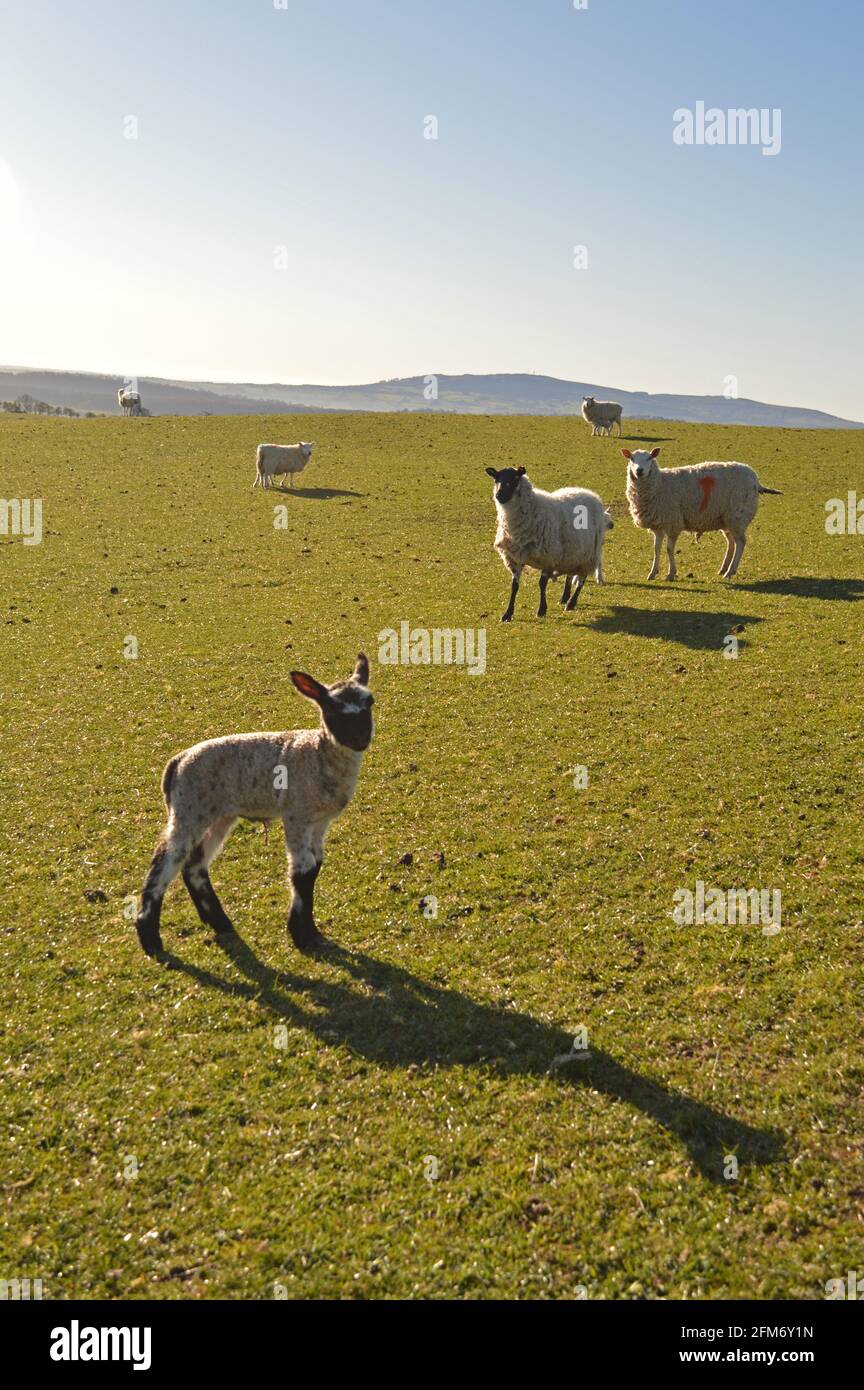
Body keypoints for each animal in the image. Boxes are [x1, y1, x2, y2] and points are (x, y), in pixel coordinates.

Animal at [134, 653, 374, 959]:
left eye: (370, 702)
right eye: (331, 708)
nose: (360, 738)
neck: (317, 754)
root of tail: (176, 762)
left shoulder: (320, 821)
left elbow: (315, 867)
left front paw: (311, 931)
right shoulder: (296, 815)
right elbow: (301, 870)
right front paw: (301, 935)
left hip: (217, 815)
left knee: (194, 865)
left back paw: (219, 922)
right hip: (189, 809)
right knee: (164, 862)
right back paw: (150, 938)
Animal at [486, 465, 611, 621]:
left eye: (515, 478)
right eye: (496, 479)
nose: (500, 495)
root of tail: (589, 493)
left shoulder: (548, 557)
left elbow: (542, 584)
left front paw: (541, 610)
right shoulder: (515, 558)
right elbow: (514, 586)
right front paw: (507, 614)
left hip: (589, 554)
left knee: (582, 579)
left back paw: (571, 603)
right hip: (572, 552)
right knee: (570, 575)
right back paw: (564, 597)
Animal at [623, 448, 782, 580]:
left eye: (650, 458)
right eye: (632, 458)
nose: (639, 471)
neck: (660, 484)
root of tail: (756, 481)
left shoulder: (673, 522)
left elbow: (668, 549)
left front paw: (671, 574)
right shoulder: (658, 525)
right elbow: (656, 549)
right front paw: (652, 573)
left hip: (737, 515)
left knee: (741, 543)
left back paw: (730, 572)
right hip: (727, 519)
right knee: (731, 542)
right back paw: (723, 569)